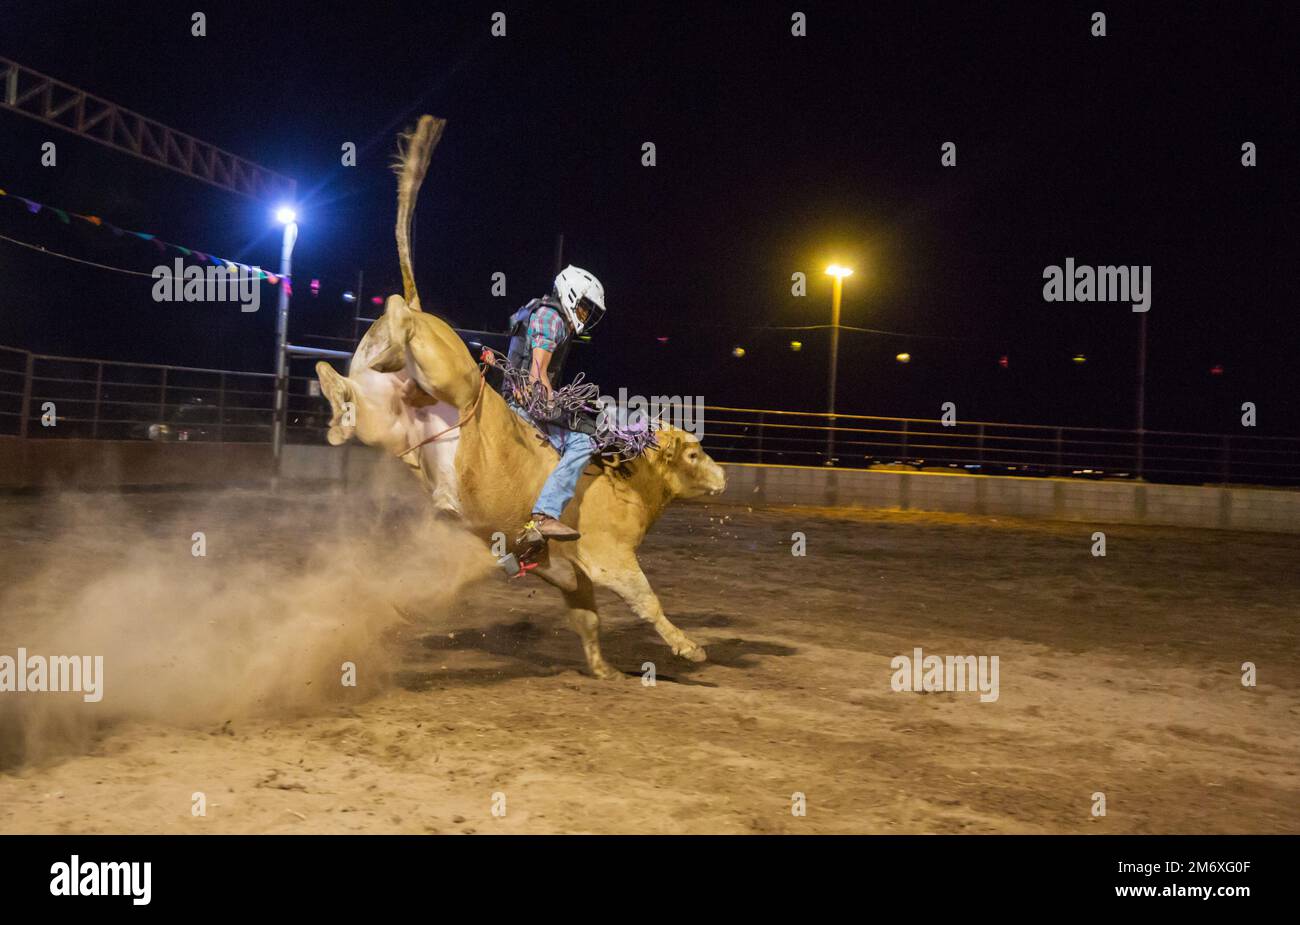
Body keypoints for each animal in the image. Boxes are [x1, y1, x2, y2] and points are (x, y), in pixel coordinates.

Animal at [310, 117, 728, 680]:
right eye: (693, 453)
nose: (723, 476)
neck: (629, 476)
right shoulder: (610, 558)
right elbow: (647, 601)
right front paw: (689, 648)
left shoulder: (569, 571)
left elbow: (586, 617)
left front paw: (604, 671)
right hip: (453, 377)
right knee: (403, 312)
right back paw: (399, 314)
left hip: (385, 414)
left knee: (355, 395)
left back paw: (335, 393)